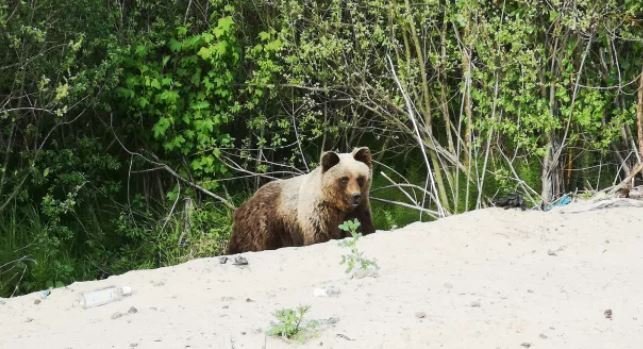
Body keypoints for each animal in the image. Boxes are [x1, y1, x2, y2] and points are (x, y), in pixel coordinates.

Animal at [228, 147, 374, 253]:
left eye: (360, 178)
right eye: (344, 179)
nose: (355, 196)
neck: (338, 205)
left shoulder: (358, 210)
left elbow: (363, 227)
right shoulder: (319, 214)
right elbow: (319, 236)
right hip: (263, 223)